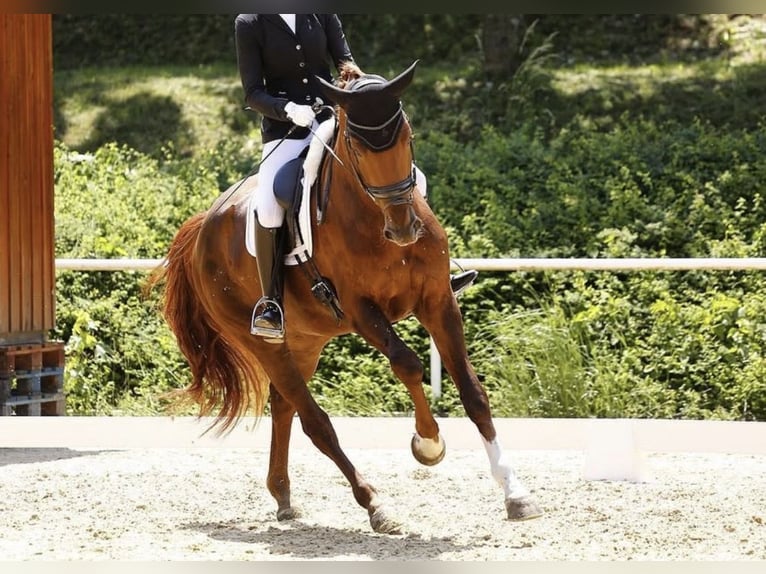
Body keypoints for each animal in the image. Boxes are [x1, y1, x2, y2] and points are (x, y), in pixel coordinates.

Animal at [146, 61, 543, 533]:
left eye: (407, 135)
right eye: (355, 145)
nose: (404, 229)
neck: (374, 222)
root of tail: (205, 222)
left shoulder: (438, 301)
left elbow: (473, 391)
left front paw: (515, 493)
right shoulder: (360, 311)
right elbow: (408, 363)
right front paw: (427, 443)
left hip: (305, 339)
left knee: (284, 405)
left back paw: (283, 497)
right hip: (261, 339)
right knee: (314, 421)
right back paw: (374, 504)